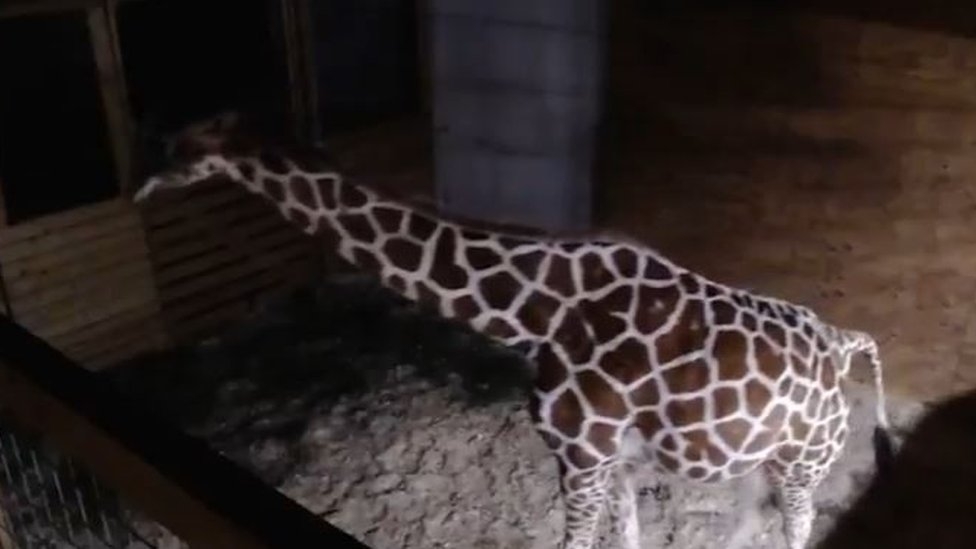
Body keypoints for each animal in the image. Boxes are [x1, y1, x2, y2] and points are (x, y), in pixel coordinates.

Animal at [133, 112, 893, 549]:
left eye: (178, 149)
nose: (138, 187)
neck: (538, 313)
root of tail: (845, 344)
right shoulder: (613, 458)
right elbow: (629, 537)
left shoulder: (582, 455)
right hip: (756, 458)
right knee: (749, 522)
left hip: (806, 461)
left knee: (798, 526)